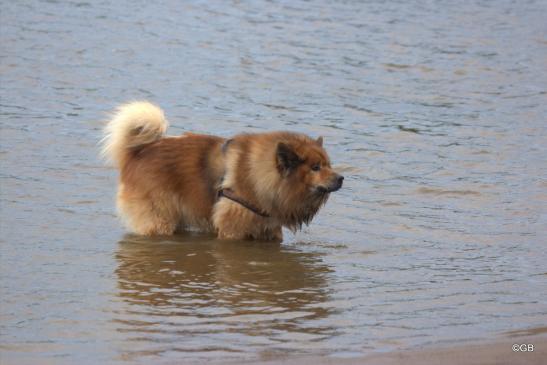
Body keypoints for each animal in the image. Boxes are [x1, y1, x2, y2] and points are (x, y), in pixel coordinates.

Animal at [100, 101, 344, 240]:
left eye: (329, 164)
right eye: (315, 168)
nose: (342, 178)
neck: (260, 175)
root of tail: (138, 151)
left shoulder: (270, 229)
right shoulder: (233, 229)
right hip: (160, 220)